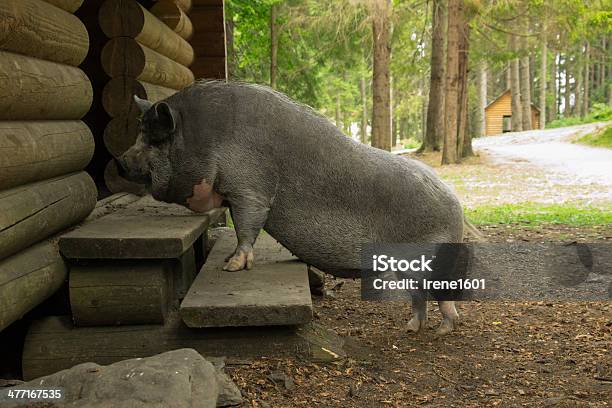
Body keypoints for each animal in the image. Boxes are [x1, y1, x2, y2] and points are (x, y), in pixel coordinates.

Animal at [117, 80, 464, 334]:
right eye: (140, 134)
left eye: (155, 141)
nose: (119, 160)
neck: (206, 137)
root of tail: (456, 205)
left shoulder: (249, 187)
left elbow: (247, 222)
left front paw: (230, 266)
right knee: (423, 297)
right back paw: (412, 328)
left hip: (427, 257)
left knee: (439, 295)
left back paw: (441, 330)